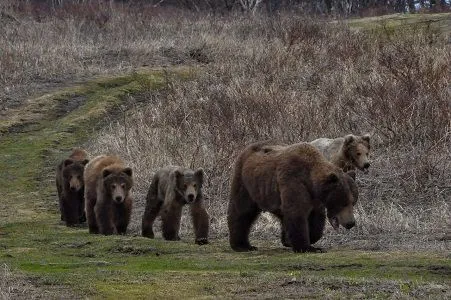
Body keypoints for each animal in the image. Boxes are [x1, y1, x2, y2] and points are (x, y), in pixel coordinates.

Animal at [228, 141, 358, 253]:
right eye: (343, 202)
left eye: (353, 202)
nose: (351, 223)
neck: (310, 182)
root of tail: (247, 149)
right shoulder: (293, 180)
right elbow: (297, 212)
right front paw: (307, 247)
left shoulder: (314, 199)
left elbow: (315, 218)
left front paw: (308, 239)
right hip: (245, 182)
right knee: (242, 211)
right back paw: (242, 245)